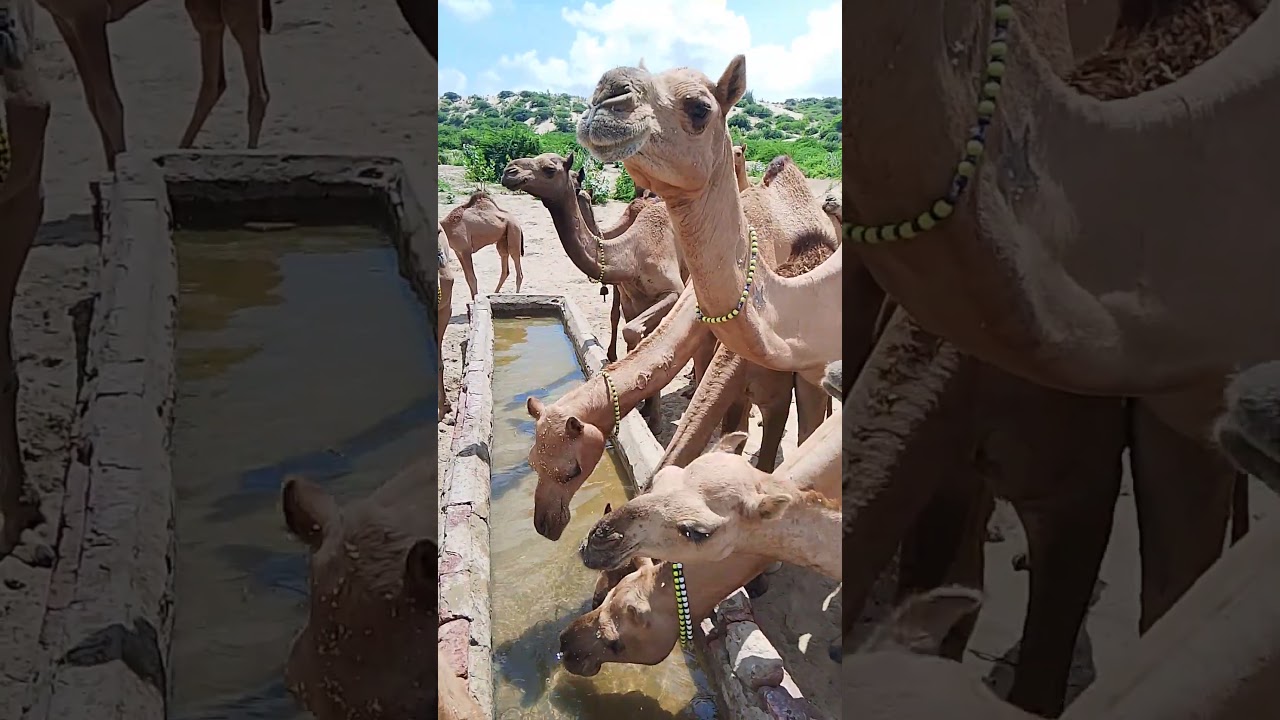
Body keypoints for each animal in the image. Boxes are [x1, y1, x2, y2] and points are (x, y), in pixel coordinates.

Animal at [31, 0, 270, 169]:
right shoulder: (64, 20)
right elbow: (93, 103)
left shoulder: (88, 15)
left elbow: (108, 105)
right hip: (202, 5)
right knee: (215, 74)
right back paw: (180, 155)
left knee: (257, 89)